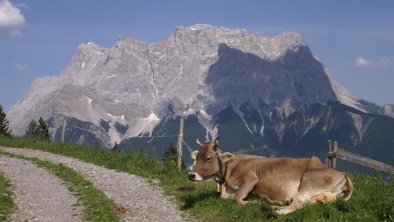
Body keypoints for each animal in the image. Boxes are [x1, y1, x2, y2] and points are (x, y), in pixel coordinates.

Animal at [188, 139, 354, 215]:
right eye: (197, 157)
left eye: (208, 158)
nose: (191, 174)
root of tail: (342, 173)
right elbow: (226, 197)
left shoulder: (251, 179)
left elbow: (237, 199)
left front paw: (255, 202)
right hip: (323, 195)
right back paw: (272, 205)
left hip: (309, 182)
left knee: (298, 203)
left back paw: (274, 211)